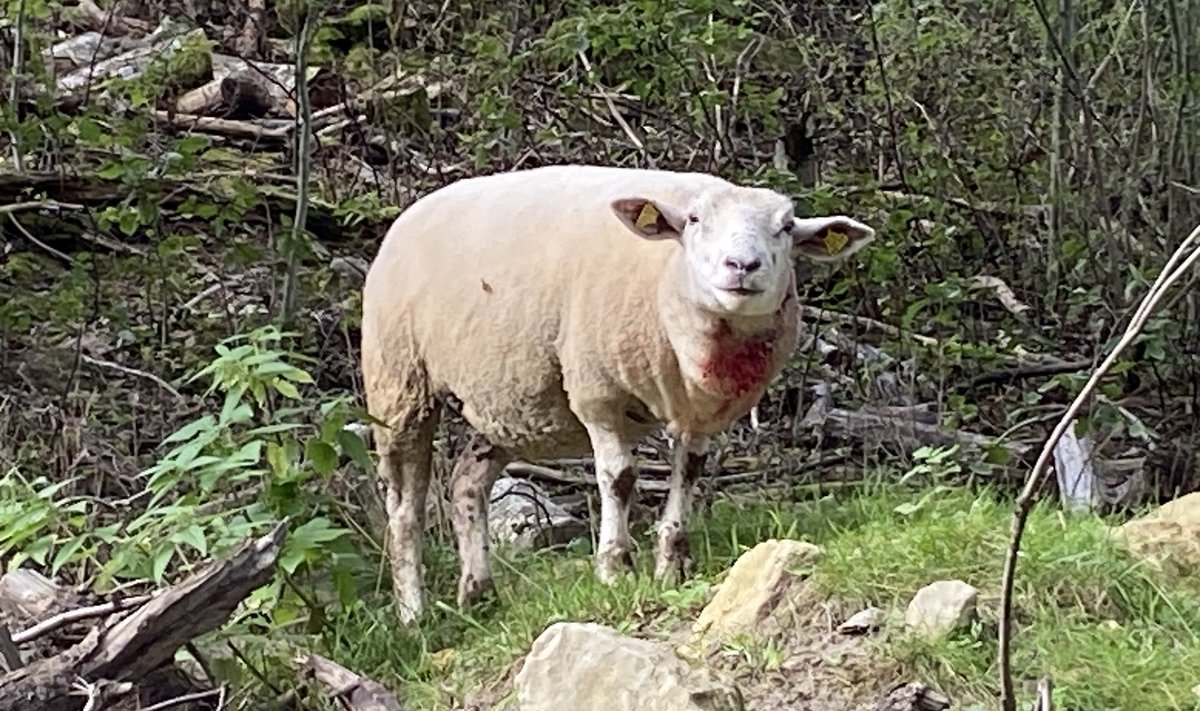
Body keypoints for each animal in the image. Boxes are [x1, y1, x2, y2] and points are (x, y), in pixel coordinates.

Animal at [355, 165, 873, 624]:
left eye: (786, 227)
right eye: (694, 220)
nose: (742, 266)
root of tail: (410, 214)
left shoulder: (701, 412)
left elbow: (689, 473)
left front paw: (671, 563)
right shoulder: (596, 393)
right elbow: (619, 477)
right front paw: (615, 566)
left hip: (505, 403)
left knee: (467, 482)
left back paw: (478, 592)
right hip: (398, 383)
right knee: (404, 511)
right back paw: (413, 613)